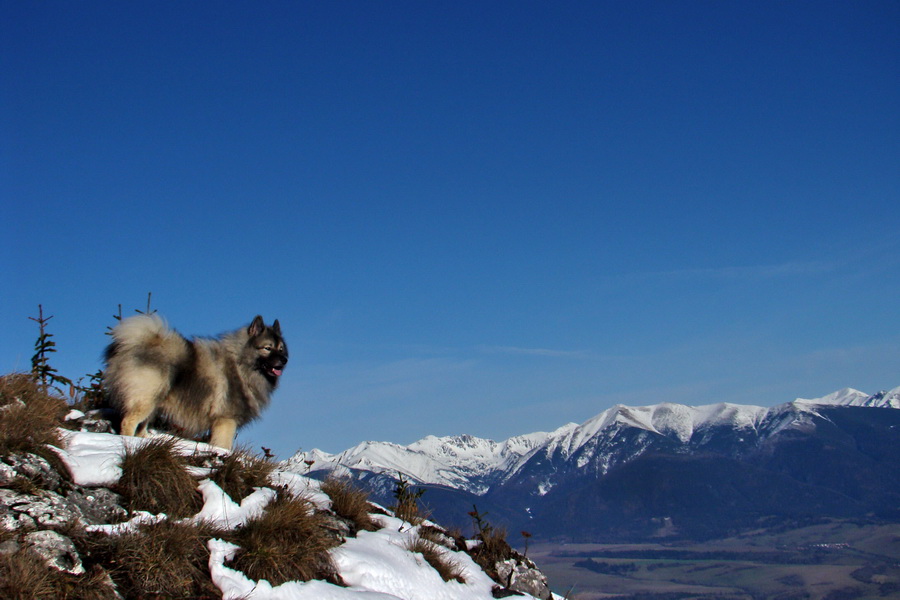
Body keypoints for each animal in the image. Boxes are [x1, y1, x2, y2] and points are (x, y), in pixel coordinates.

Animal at [105, 314, 288, 450]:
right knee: (129, 422)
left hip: (154, 402)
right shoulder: (226, 420)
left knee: (141, 425)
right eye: (267, 348)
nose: (284, 360)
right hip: (146, 400)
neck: (241, 365)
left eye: (281, 349)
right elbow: (224, 446)